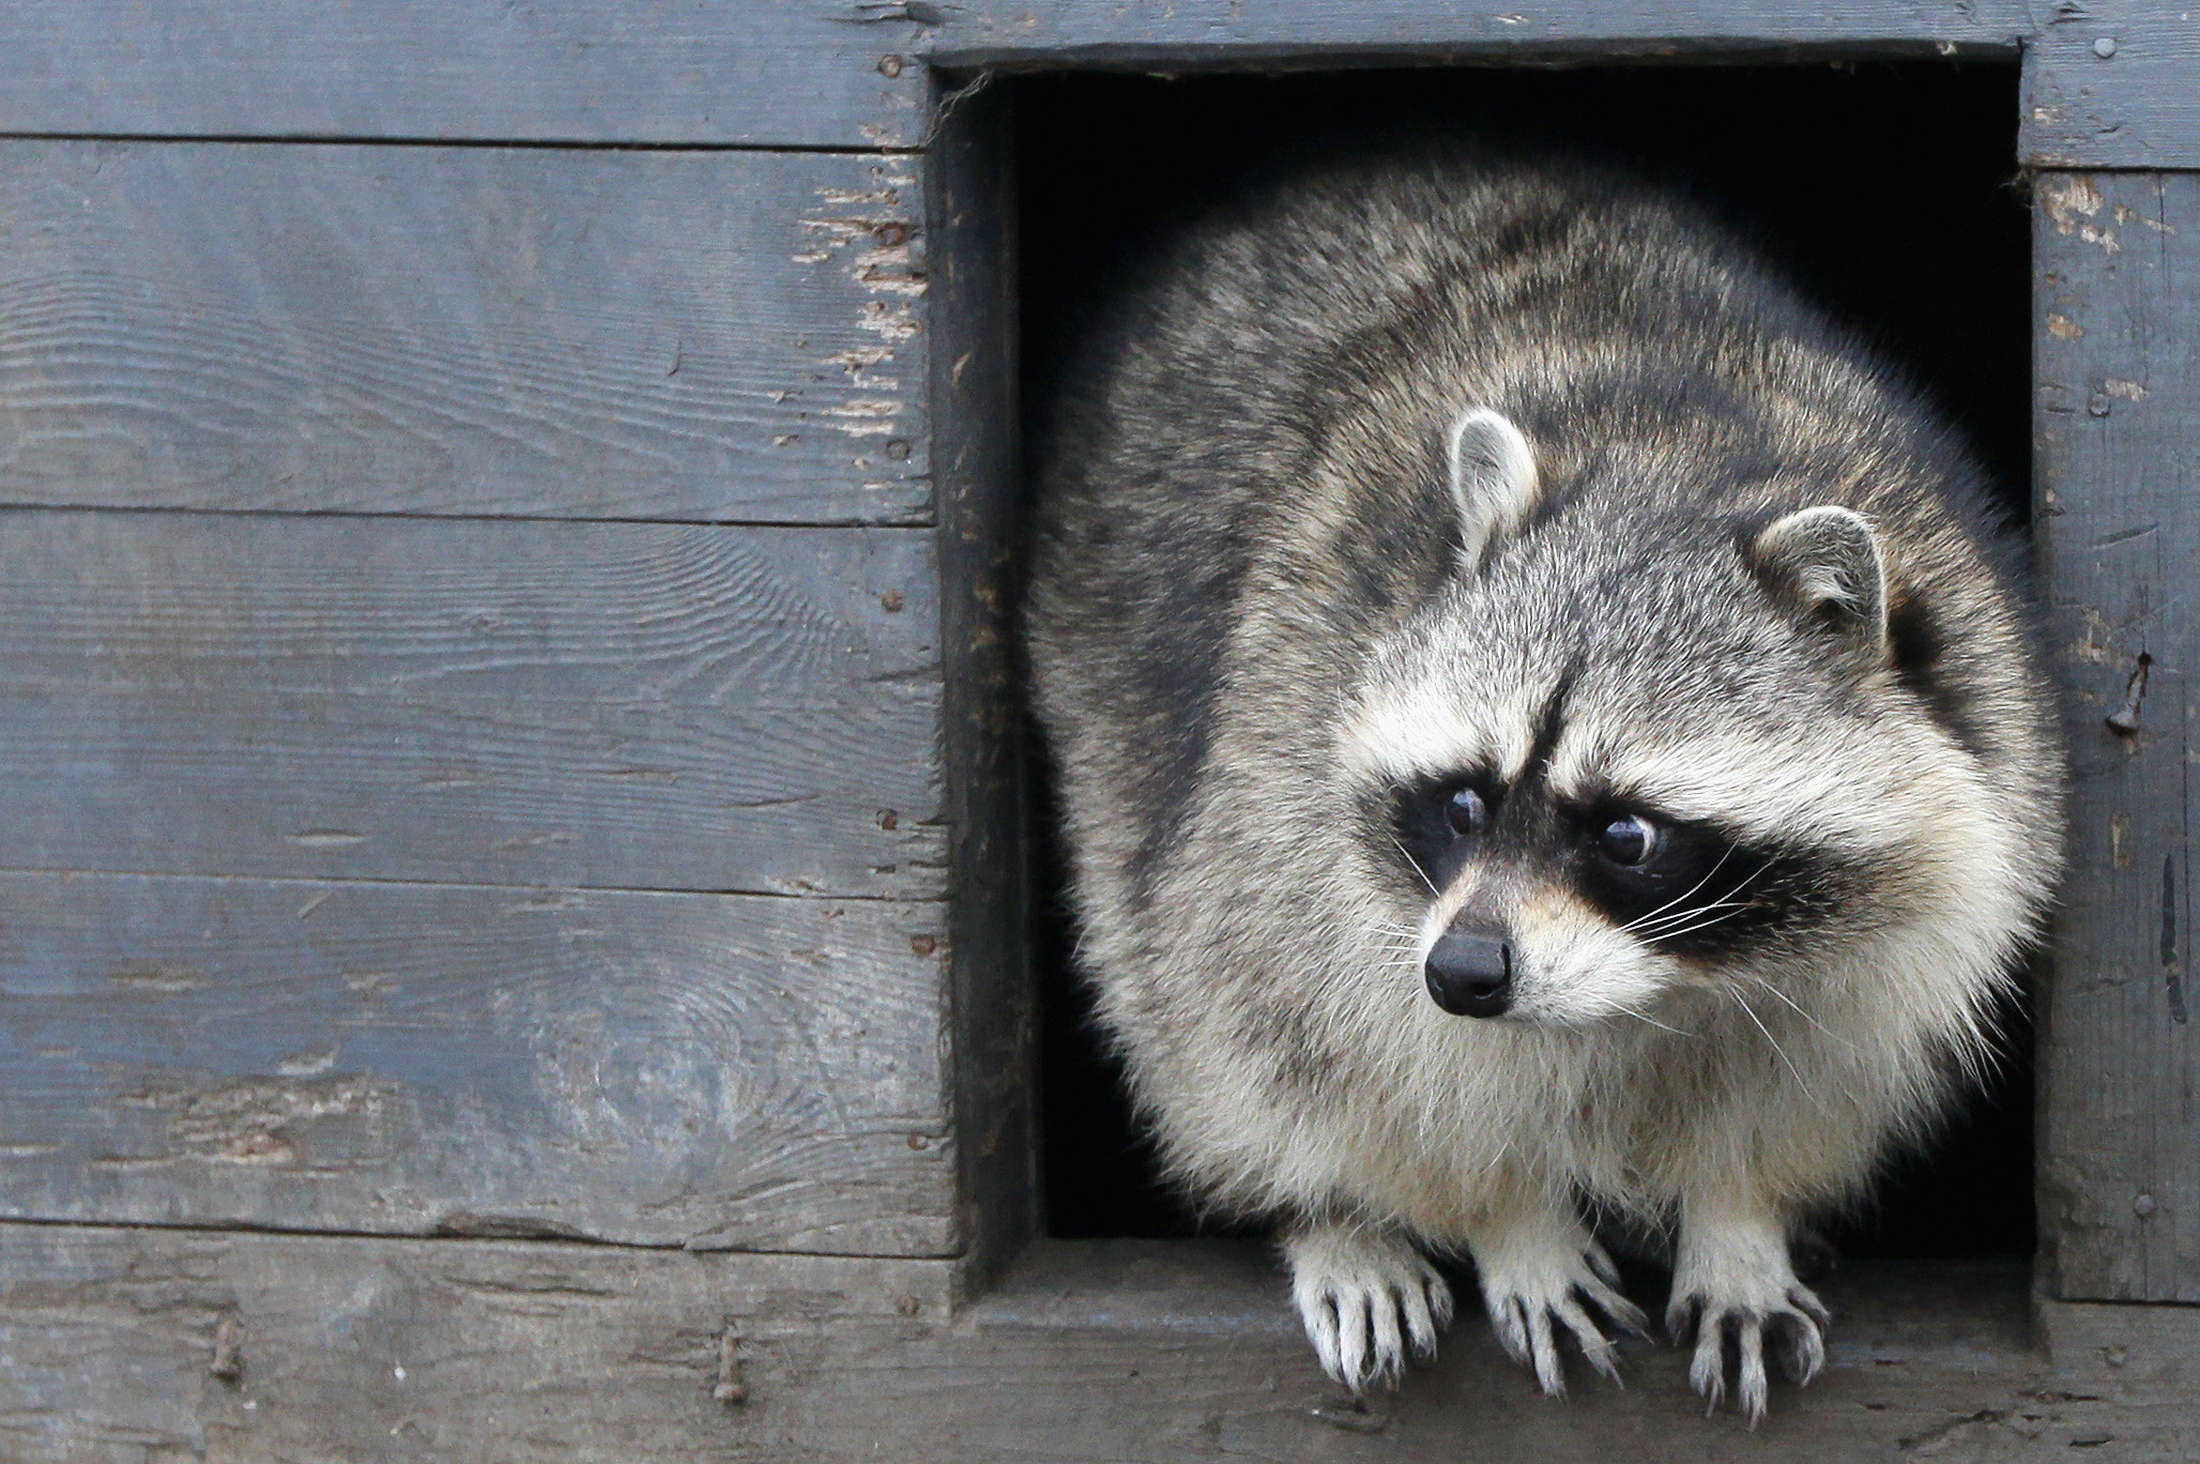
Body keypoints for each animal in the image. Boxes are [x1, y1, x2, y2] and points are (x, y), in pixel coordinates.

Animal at [1020, 148, 2050, 1417]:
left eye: (1625, 836)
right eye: (1464, 799)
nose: (1463, 971)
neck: (1683, 459)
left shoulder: (1950, 849)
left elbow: (1817, 1071)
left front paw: (1738, 1213)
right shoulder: (1280, 775)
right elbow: (1325, 1040)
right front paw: (1504, 1217)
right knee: (1204, 1009)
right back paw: (1330, 1218)